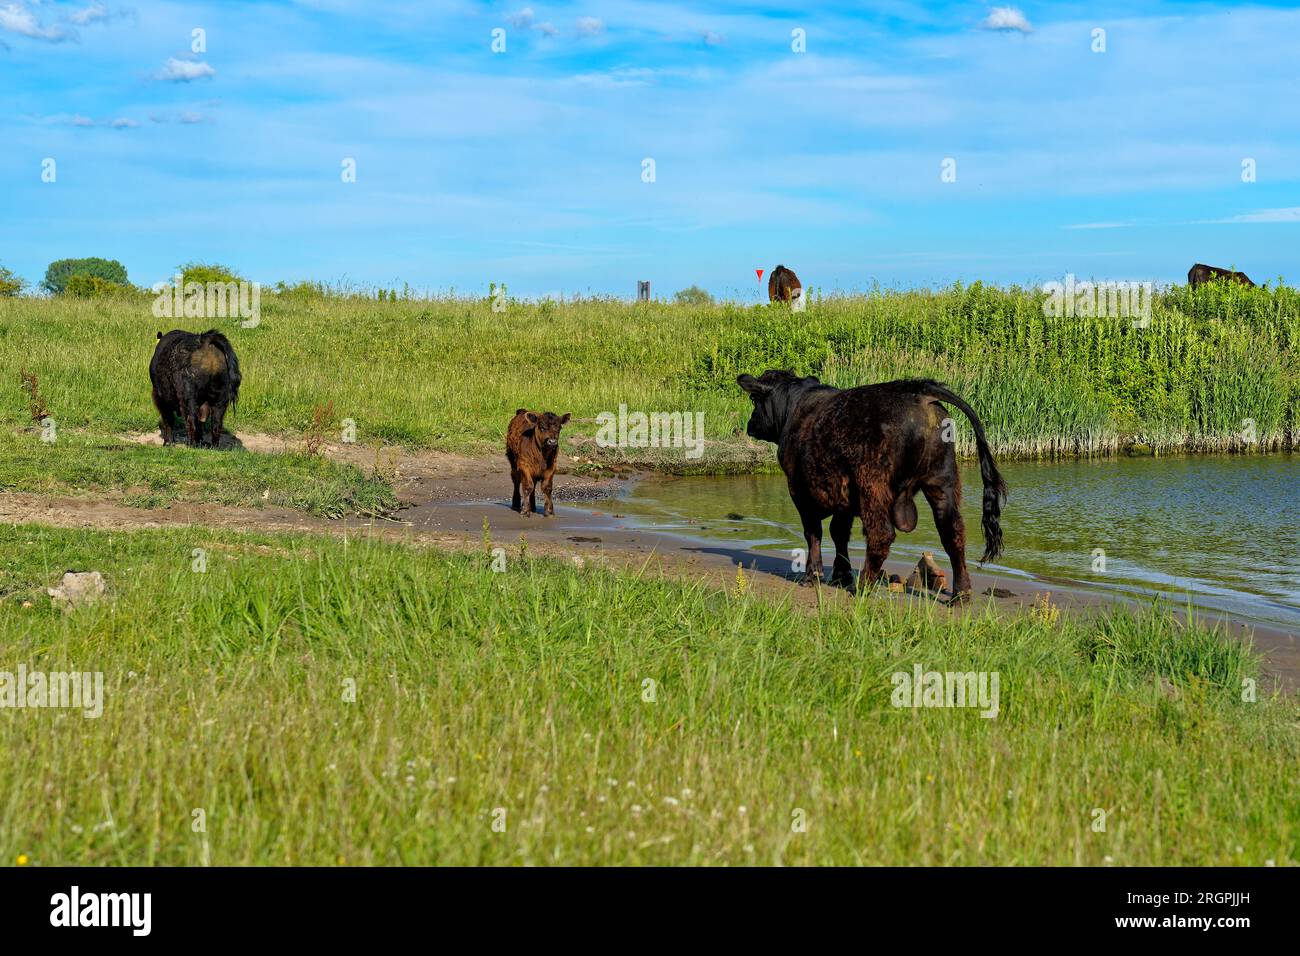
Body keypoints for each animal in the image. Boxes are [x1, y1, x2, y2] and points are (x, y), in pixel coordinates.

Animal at [743, 369, 1003, 600]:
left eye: (754, 399)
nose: (750, 424)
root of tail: (919, 390)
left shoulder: (799, 490)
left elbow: (814, 532)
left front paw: (813, 575)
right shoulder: (843, 496)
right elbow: (839, 532)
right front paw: (841, 575)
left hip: (873, 483)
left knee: (882, 533)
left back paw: (863, 587)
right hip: (942, 480)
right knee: (953, 533)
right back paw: (960, 594)